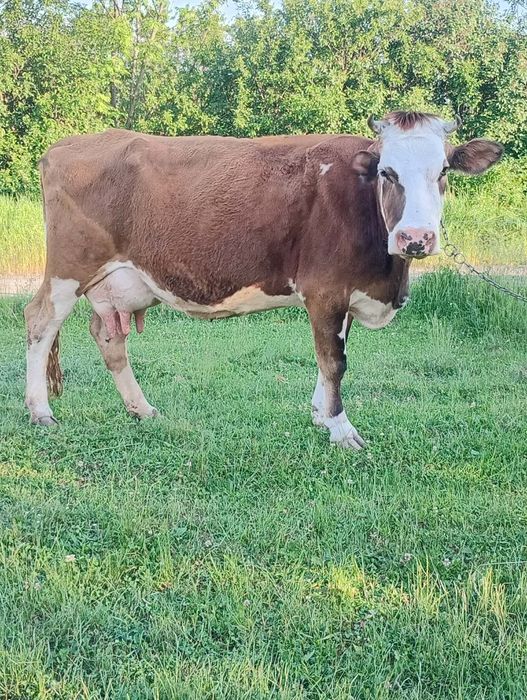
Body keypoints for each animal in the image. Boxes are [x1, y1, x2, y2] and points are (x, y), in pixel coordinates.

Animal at [24, 111, 503, 448]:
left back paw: (142, 409)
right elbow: (334, 361)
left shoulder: (344, 295)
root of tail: (66, 145)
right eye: (388, 172)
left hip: (119, 281)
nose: (416, 237)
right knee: (40, 321)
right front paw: (341, 429)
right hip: (69, 268)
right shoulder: (326, 289)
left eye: (443, 172)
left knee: (109, 337)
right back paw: (40, 411)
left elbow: (330, 357)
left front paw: (320, 414)